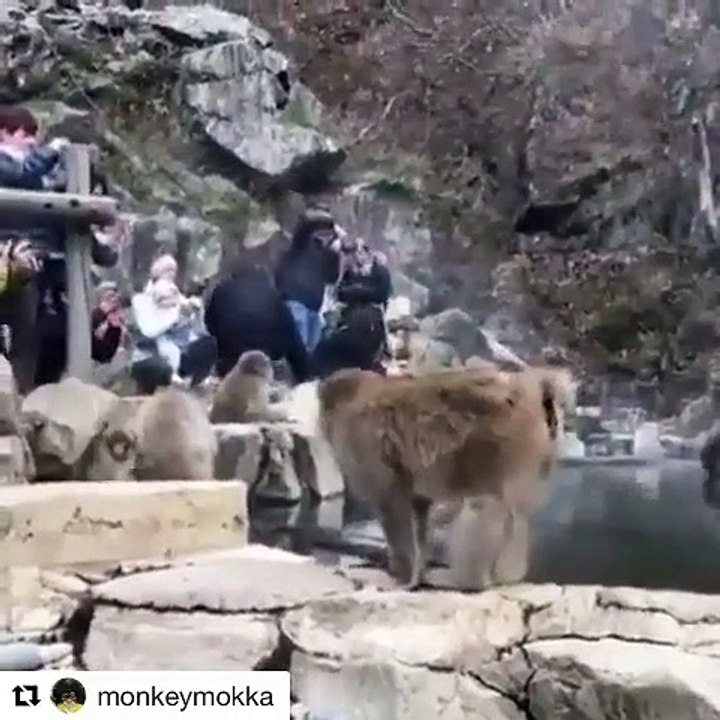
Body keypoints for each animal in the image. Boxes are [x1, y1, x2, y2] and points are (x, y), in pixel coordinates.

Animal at [316, 363, 575, 589]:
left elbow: (393, 505)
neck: (353, 402)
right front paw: (418, 574)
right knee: (516, 513)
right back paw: (507, 576)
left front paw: (401, 578)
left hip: (503, 443)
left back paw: (472, 581)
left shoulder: (367, 447)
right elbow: (418, 509)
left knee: (485, 504)